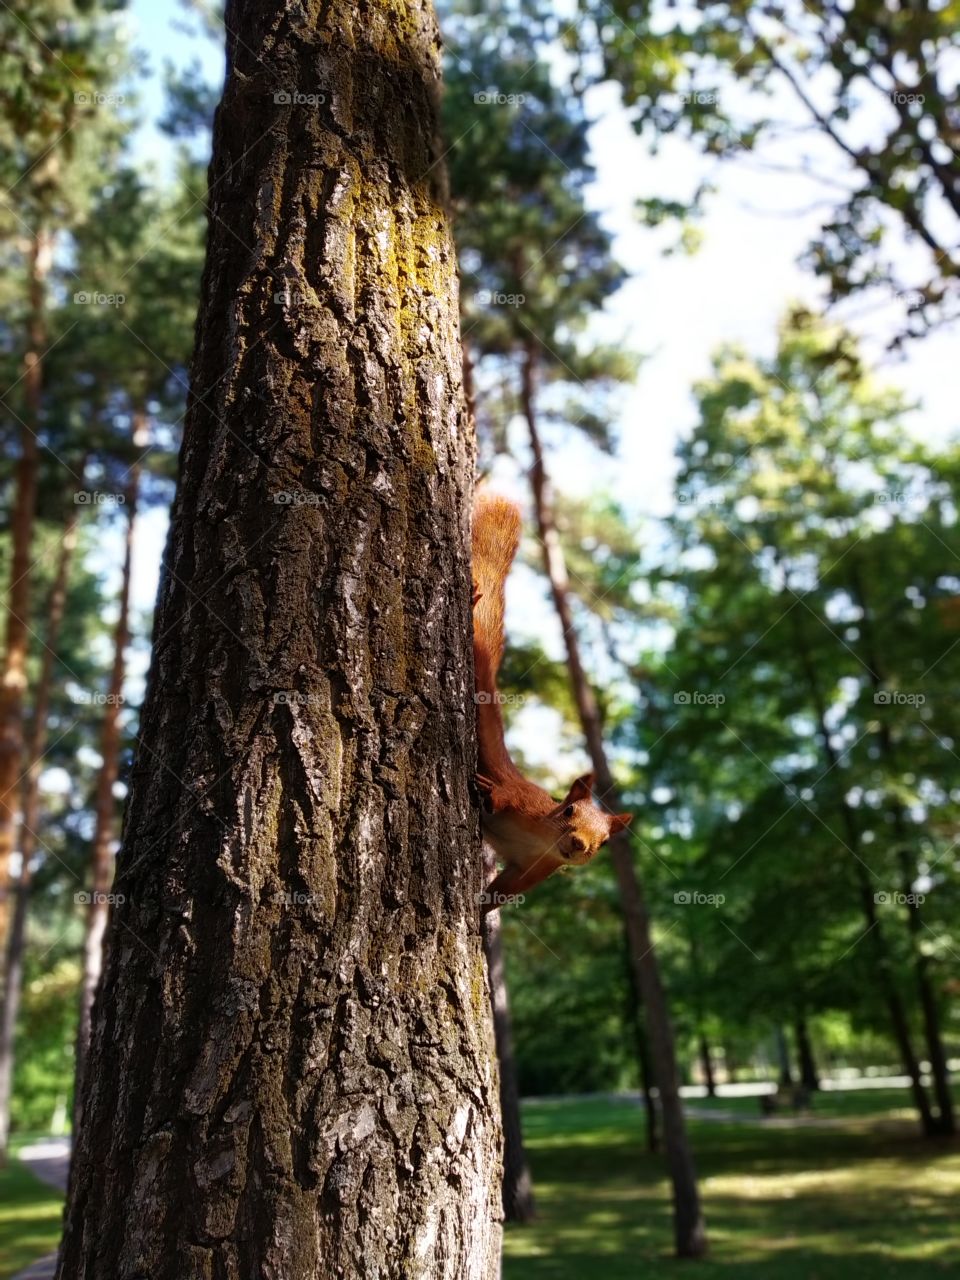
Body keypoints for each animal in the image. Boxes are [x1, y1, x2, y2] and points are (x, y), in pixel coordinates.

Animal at [472, 491, 632, 913]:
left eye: (603, 843)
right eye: (568, 809)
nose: (578, 844)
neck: (542, 839)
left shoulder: (533, 870)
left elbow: (501, 893)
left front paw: (479, 911)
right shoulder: (525, 803)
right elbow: (505, 798)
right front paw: (490, 793)